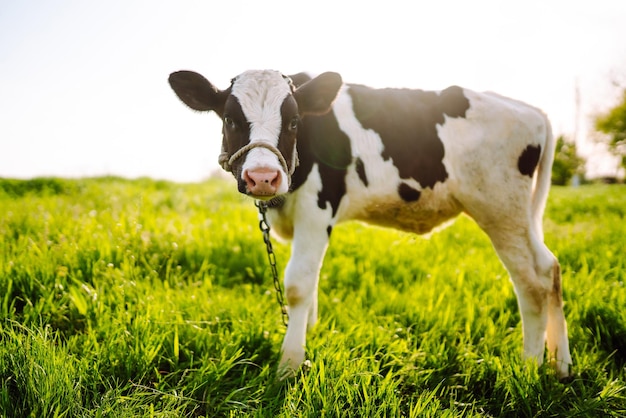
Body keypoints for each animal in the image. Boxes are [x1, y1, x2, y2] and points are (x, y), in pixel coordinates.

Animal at [166, 69, 572, 378]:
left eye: (294, 121)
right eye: (230, 119)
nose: (263, 177)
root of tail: (532, 110)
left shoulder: (317, 208)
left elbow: (297, 285)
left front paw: (289, 364)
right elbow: (311, 285)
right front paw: (307, 336)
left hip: (501, 210)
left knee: (531, 281)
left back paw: (530, 364)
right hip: (519, 215)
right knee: (550, 267)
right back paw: (561, 364)